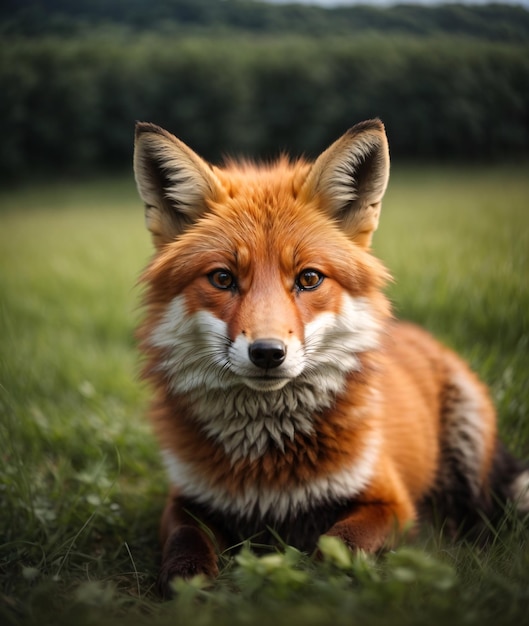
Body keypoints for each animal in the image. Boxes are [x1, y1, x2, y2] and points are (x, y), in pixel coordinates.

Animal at [133, 118, 528, 596]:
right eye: (223, 278)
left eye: (308, 278)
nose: (267, 353)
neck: (268, 468)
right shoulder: (186, 499)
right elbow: (184, 542)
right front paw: (189, 582)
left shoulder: (391, 503)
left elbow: (338, 544)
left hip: (470, 444)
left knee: (483, 515)